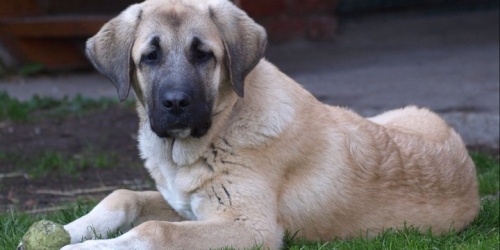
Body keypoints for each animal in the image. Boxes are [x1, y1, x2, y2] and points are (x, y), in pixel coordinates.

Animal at [55, 0, 480, 249]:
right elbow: (123, 196)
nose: (176, 103)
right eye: (150, 57)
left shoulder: (251, 227)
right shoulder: (188, 207)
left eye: (203, 55)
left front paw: (83, 247)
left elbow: (155, 230)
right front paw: (71, 231)